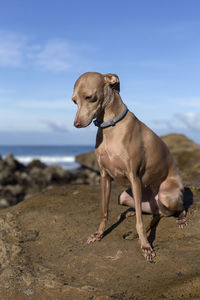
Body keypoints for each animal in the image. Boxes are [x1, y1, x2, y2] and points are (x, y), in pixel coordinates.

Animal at [72, 71, 186, 260]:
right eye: (74, 101)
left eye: (90, 97)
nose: (76, 124)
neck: (111, 127)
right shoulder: (104, 176)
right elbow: (104, 211)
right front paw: (99, 234)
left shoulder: (135, 177)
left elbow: (140, 223)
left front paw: (146, 246)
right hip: (125, 196)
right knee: (153, 213)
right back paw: (131, 212)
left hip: (166, 195)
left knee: (177, 208)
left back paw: (181, 218)